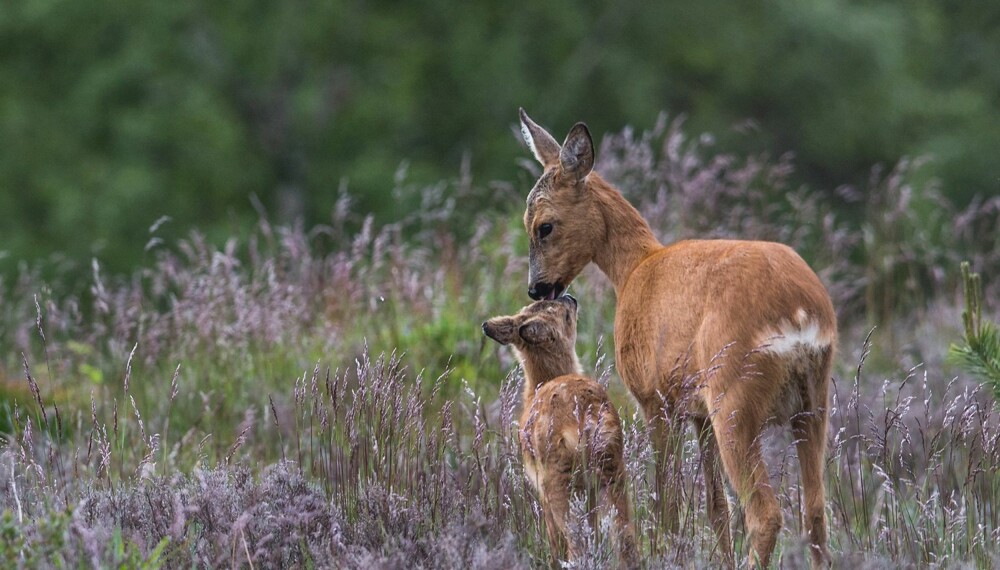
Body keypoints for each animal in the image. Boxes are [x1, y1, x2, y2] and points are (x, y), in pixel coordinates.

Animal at [482, 296, 636, 564]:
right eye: (564, 315)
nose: (570, 298)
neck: (537, 385)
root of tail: (586, 422)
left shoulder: (541, 489)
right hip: (613, 471)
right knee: (624, 536)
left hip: (560, 481)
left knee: (576, 544)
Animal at [516, 108, 836, 564]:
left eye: (544, 226)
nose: (536, 289)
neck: (634, 268)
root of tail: (799, 313)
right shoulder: (698, 412)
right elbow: (715, 507)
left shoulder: (654, 397)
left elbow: (665, 502)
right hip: (812, 399)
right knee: (816, 511)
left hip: (734, 395)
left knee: (766, 513)